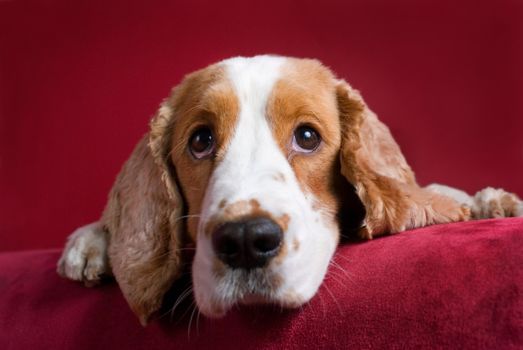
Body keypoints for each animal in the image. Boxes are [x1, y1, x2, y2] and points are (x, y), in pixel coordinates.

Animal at [57, 54, 523, 326]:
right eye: (200, 140)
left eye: (307, 136)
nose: (246, 240)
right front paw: (94, 241)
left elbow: (427, 195)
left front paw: (490, 202)